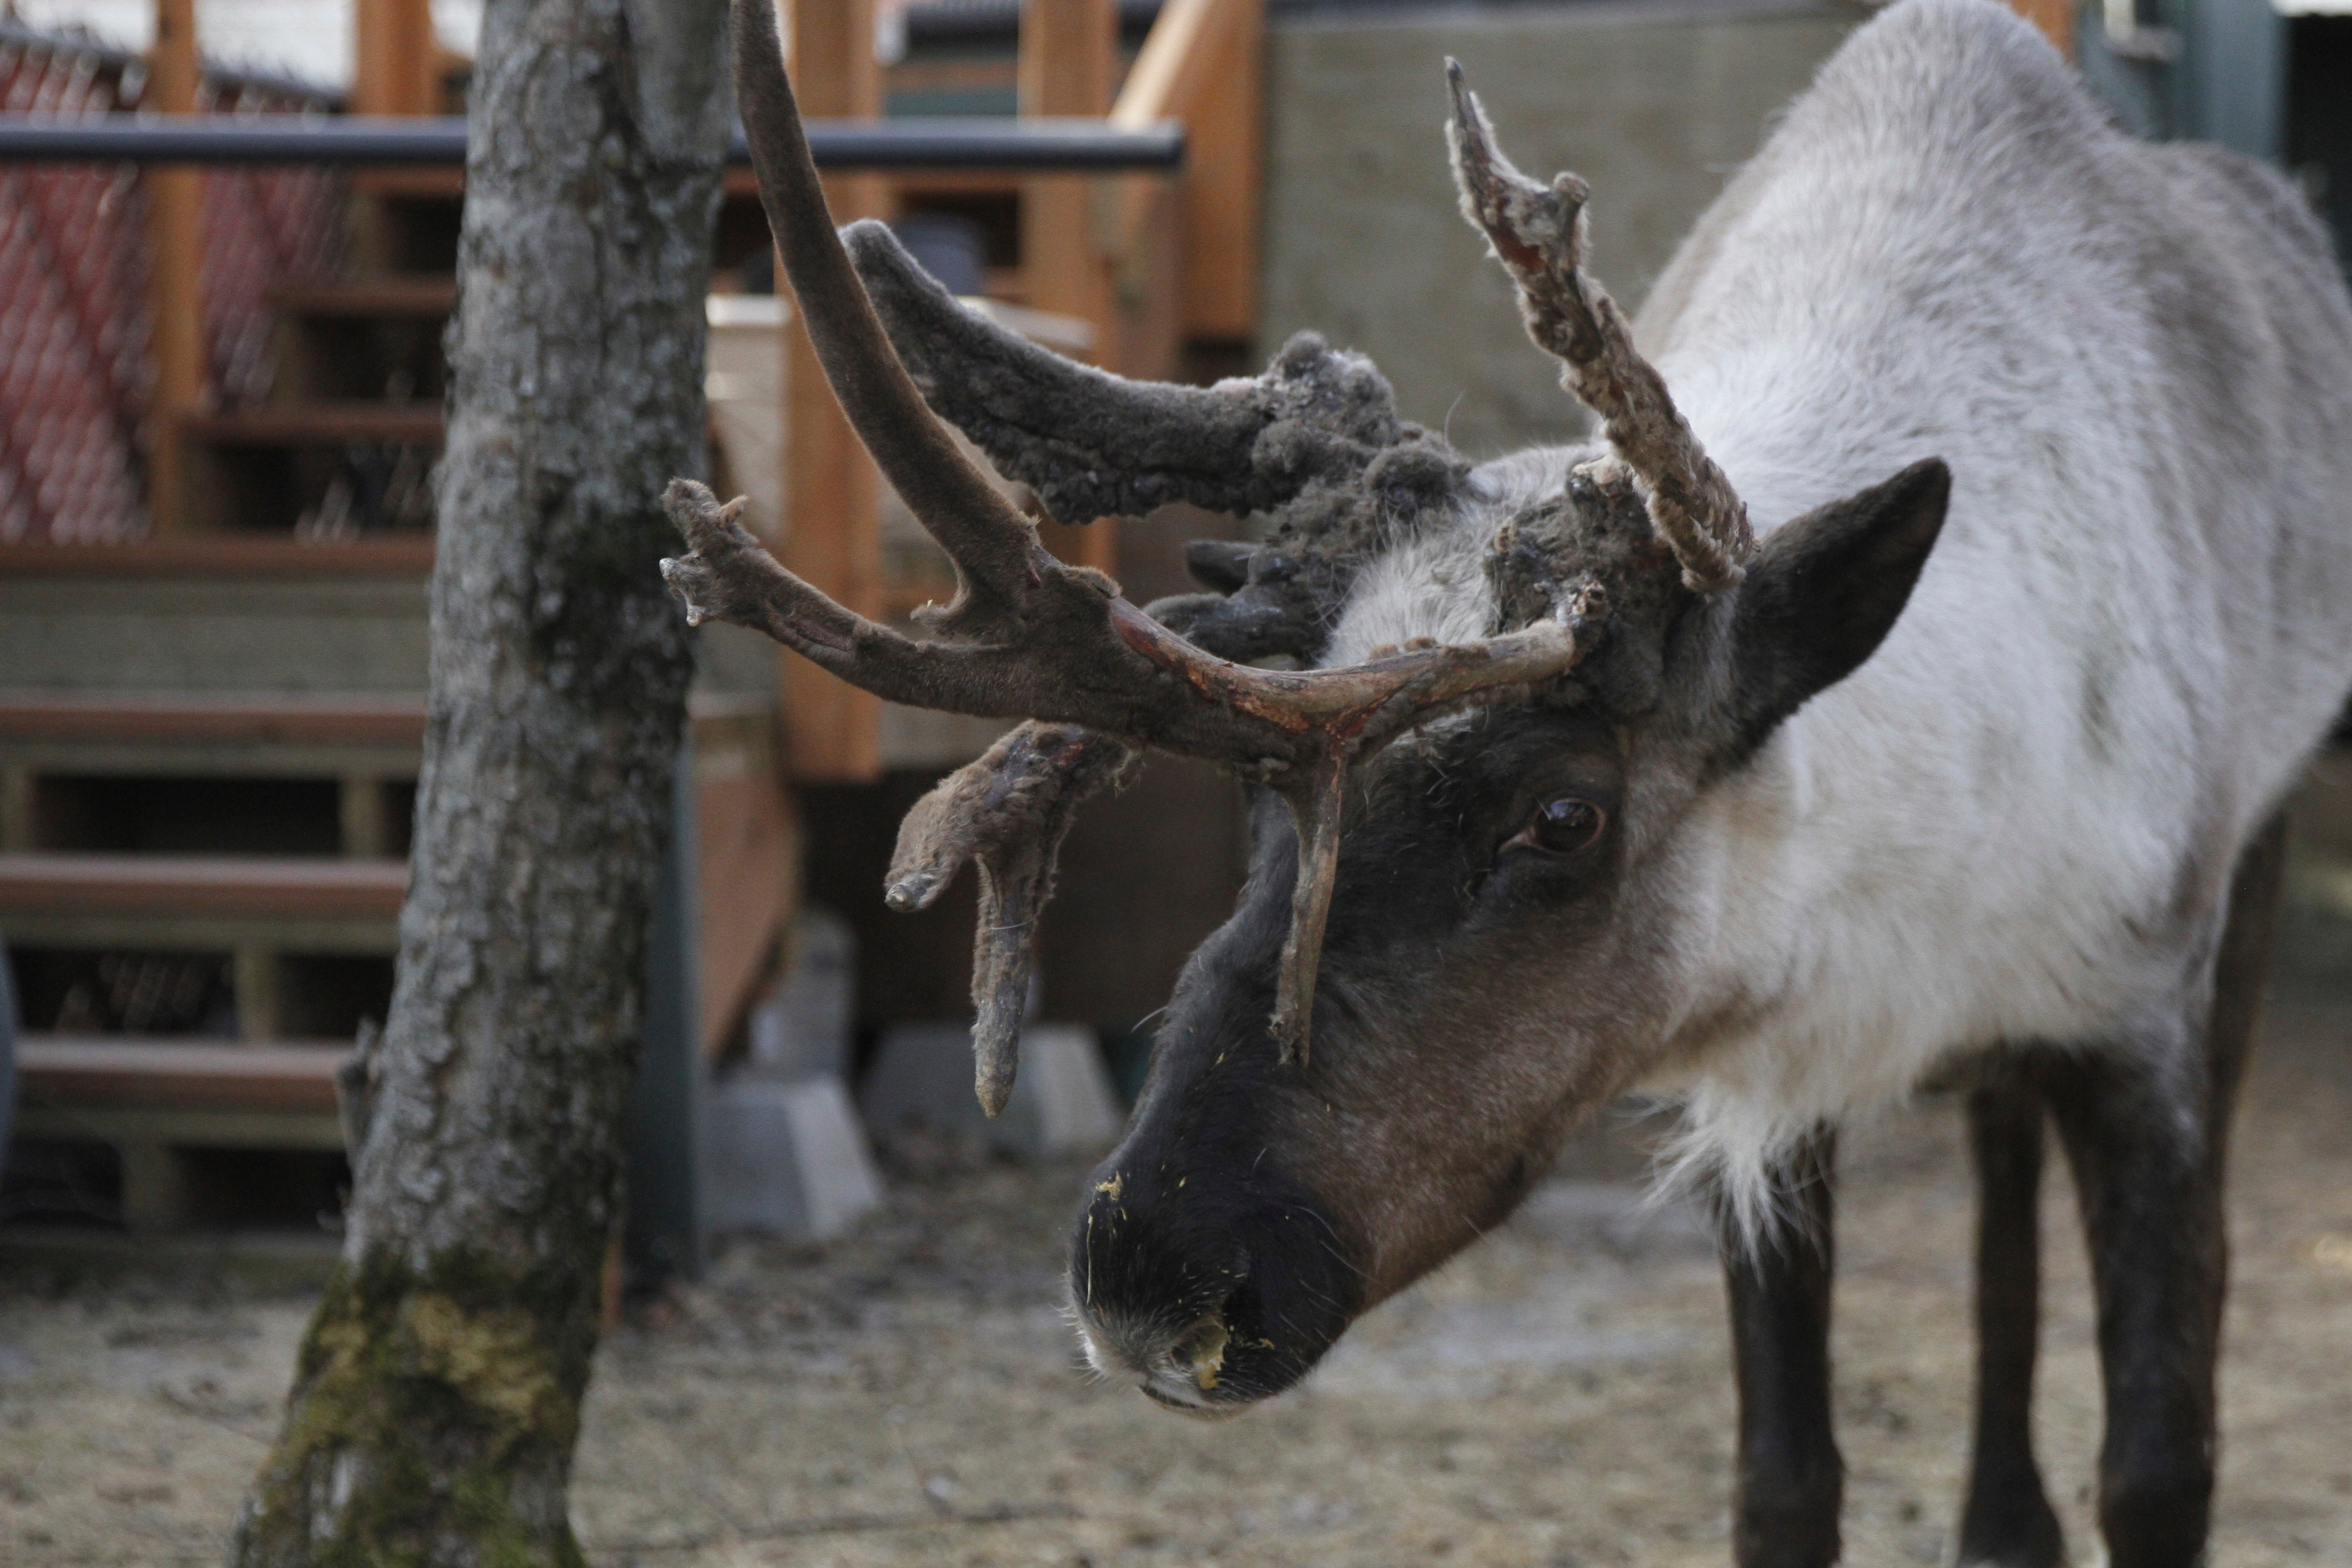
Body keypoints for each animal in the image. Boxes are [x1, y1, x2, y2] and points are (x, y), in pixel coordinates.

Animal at [662, 0, 2352, 1562]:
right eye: (1259, 803)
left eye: (1563, 815)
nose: (1150, 1283)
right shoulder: (1767, 1072)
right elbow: (1783, 1479)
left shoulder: (2136, 1019)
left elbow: (2160, 1466)